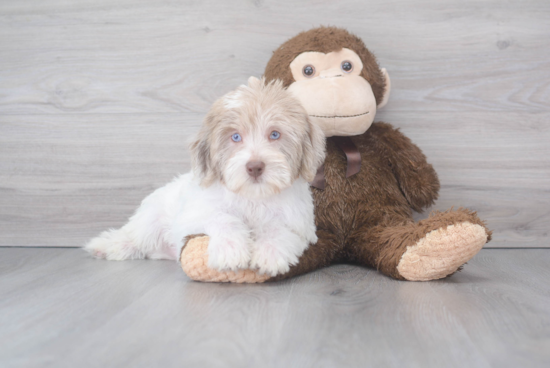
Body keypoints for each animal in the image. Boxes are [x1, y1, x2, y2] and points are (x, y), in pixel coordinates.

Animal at [85, 76, 328, 276]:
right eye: (235, 137)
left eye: (275, 134)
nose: (255, 167)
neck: (252, 197)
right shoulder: (194, 213)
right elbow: (222, 217)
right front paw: (231, 250)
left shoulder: (301, 223)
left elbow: (278, 228)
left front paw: (270, 253)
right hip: (151, 218)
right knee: (135, 235)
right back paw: (108, 245)